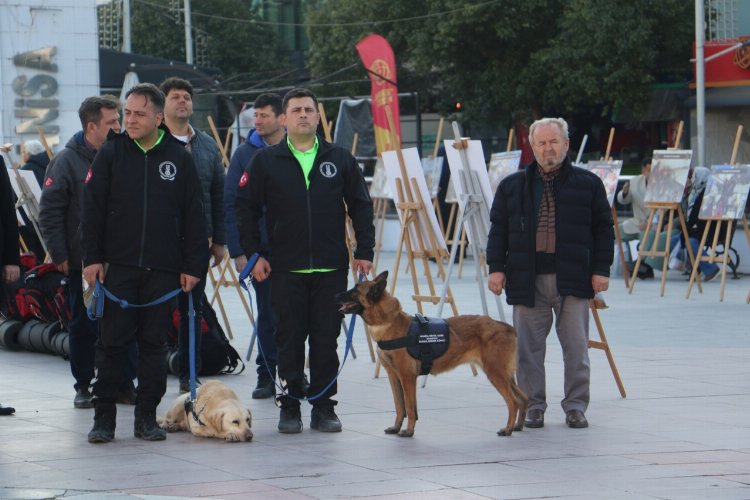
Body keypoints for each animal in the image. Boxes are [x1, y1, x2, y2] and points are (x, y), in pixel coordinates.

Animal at [336, 270, 528, 438]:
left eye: (355, 290)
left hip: (495, 374)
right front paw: (396, 427)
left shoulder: (407, 377)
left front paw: (409, 431)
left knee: (513, 402)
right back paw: (518, 426)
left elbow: (409, 407)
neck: (389, 322)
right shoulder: (393, 376)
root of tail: (507, 327)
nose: (335, 296)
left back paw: (507, 429)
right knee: (523, 398)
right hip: (504, 376)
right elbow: (399, 406)